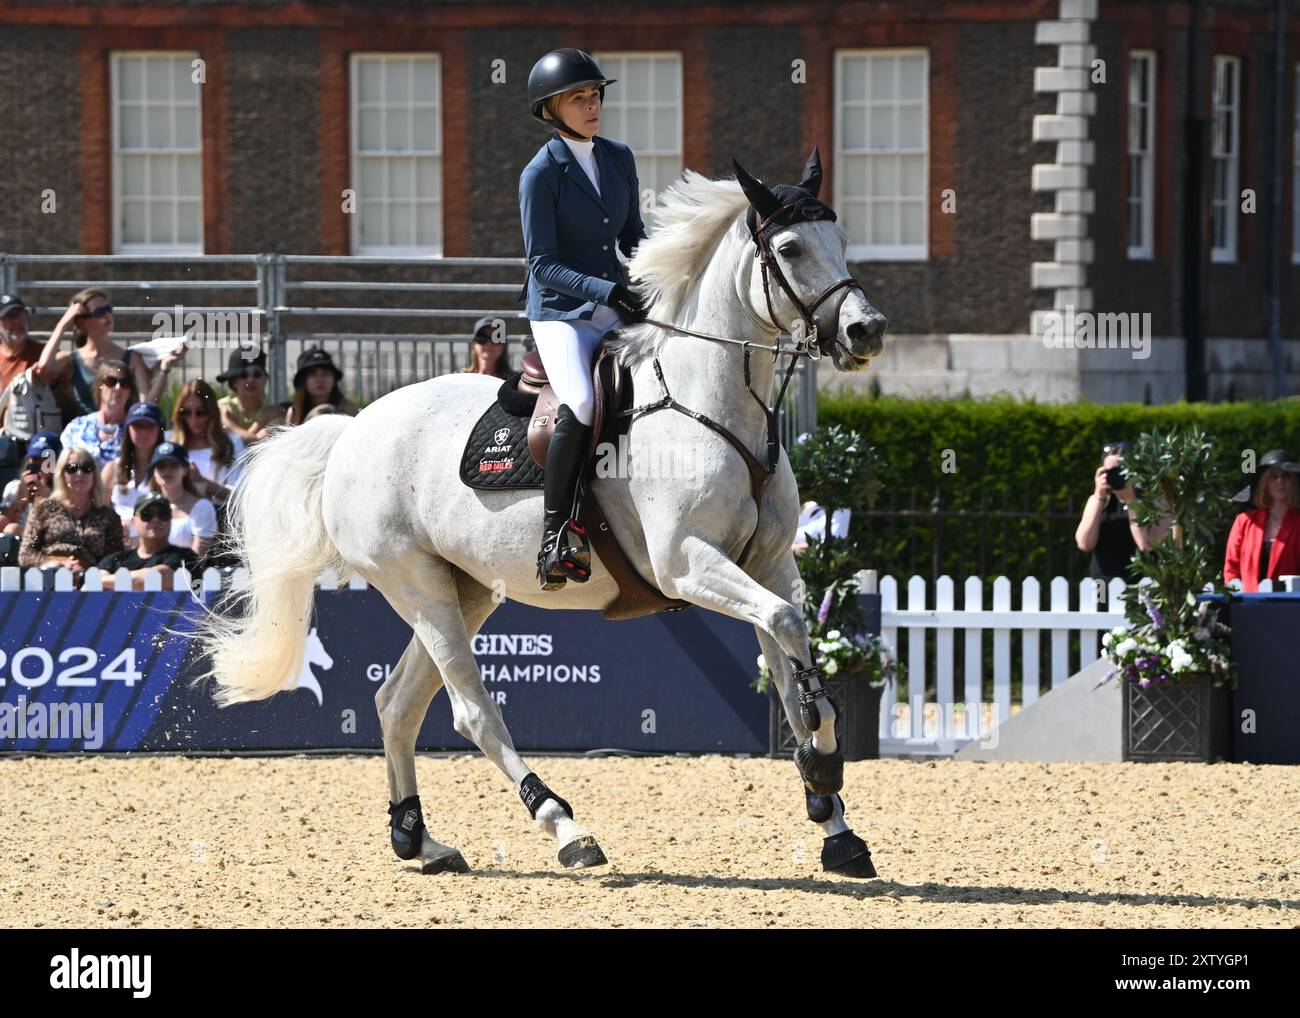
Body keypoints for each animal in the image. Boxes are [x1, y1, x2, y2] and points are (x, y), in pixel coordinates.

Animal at [197, 149, 889, 873]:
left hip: (465, 589)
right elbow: (787, 631)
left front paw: (831, 810)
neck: (711, 405)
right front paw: (823, 768)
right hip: (416, 583)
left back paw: (417, 837)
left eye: (840, 239)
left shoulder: (770, 565)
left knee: (397, 703)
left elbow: (790, 664)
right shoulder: (688, 564)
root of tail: (352, 429)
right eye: (788, 248)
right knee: (470, 711)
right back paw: (563, 826)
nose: (866, 331)